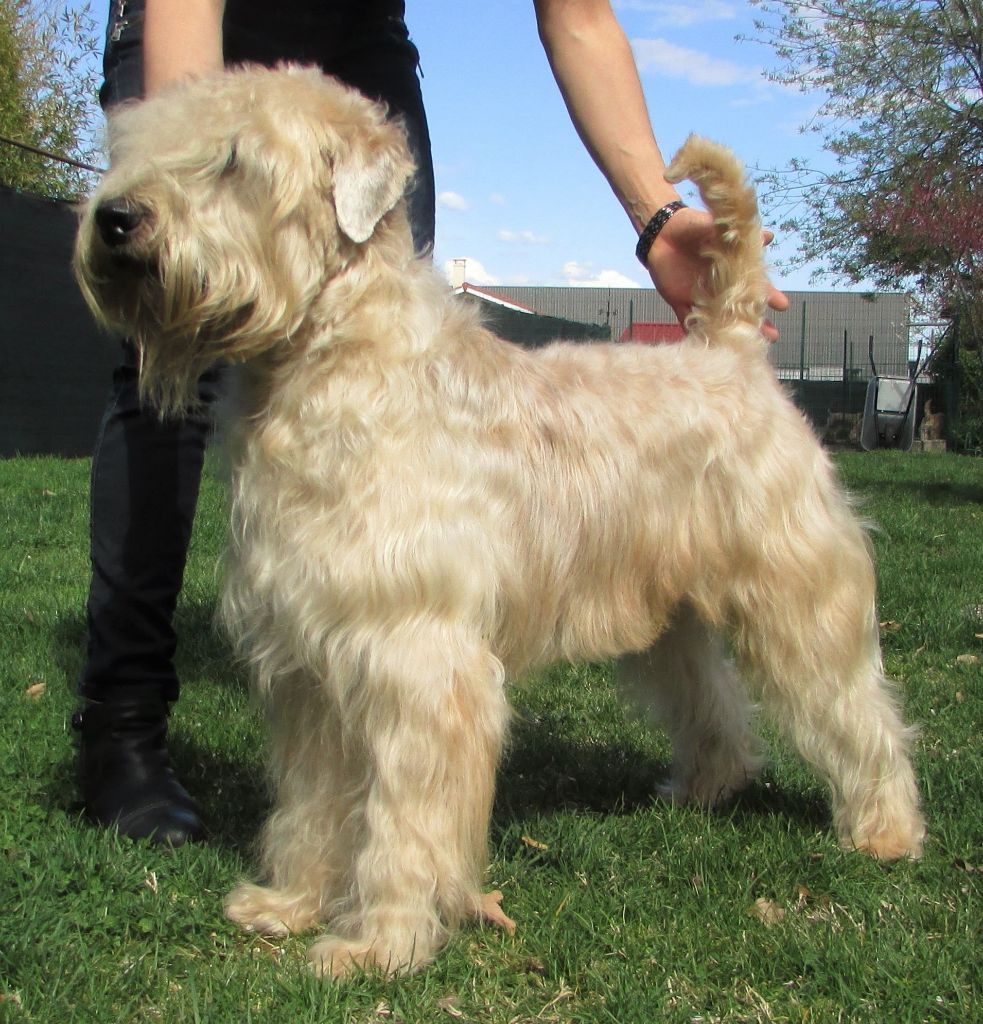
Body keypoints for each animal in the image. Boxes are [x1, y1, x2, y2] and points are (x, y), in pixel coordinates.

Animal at [75, 64, 925, 978]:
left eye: (236, 160)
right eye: (141, 142)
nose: (115, 218)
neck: (334, 369)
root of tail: (731, 350)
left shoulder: (415, 660)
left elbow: (401, 821)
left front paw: (380, 940)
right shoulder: (310, 659)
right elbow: (310, 805)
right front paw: (292, 902)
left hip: (798, 599)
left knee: (857, 711)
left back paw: (885, 830)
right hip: (665, 617)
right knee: (712, 703)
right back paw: (706, 787)